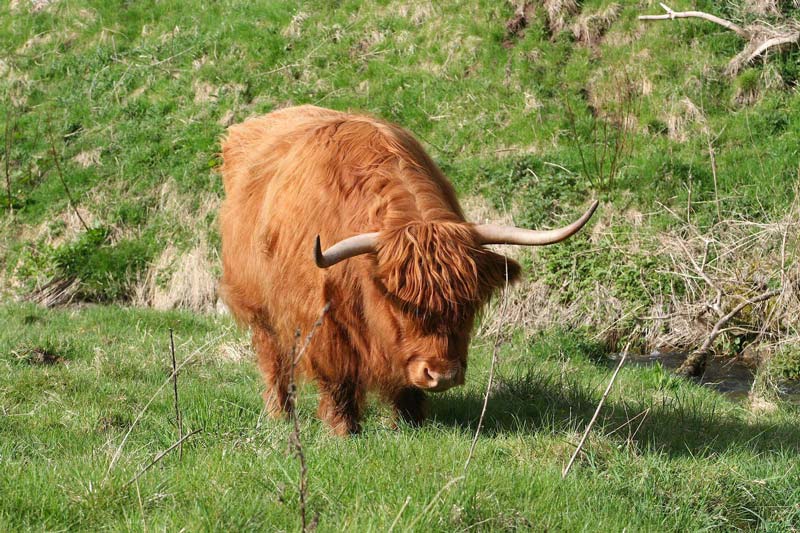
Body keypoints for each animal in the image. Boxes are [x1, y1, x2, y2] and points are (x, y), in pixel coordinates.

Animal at [219, 105, 592, 432]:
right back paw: (279, 414)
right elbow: (338, 379)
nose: (442, 375)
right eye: (401, 307)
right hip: (261, 311)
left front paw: (410, 424)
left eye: (467, 306)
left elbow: (405, 383)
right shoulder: (322, 320)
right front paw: (343, 429)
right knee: (274, 360)